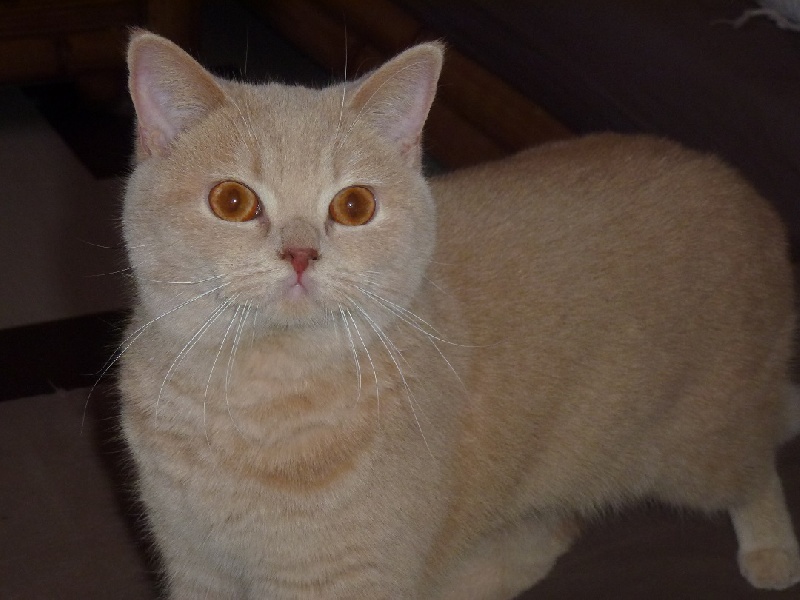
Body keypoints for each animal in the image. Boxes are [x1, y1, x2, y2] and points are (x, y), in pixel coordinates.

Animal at [119, 30, 800, 596]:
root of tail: (748, 197)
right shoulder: (196, 565)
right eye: (232, 201)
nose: (301, 254)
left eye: (354, 206)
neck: (256, 403)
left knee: (758, 459)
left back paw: (772, 547)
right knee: (553, 532)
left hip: (699, 448)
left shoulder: (345, 580)